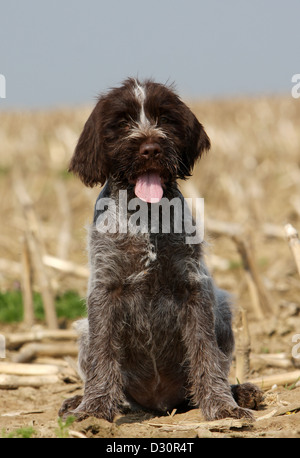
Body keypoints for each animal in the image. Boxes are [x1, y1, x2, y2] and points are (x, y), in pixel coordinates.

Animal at [58, 78, 260, 422]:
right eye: (122, 123)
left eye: (165, 119)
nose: (150, 148)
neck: (146, 216)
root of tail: (160, 404)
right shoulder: (105, 290)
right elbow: (102, 354)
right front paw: (94, 408)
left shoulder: (193, 288)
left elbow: (206, 353)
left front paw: (222, 405)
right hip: (85, 331)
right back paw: (79, 400)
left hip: (222, 310)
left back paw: (241, 392)